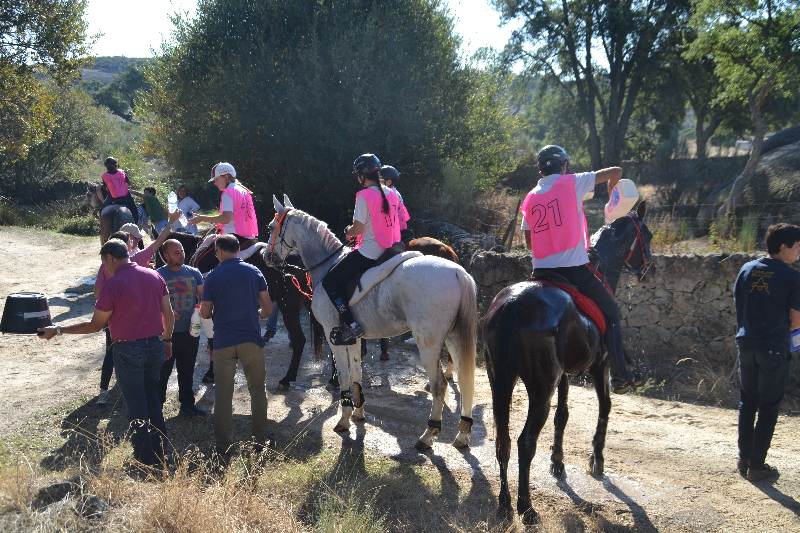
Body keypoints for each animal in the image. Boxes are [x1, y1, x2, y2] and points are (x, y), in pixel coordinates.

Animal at [153, 228, 322, 386]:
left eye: (156, 254)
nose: (157, 271)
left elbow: (213, 340)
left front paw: (211, 373)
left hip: (288, 308)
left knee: (299, 340)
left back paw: (287, 379)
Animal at [484, 201, 652, 524]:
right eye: (647, 236)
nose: (648, 270)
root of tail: (512, 305)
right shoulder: (600, 366)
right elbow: (605, 407)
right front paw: (597, 459)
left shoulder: (564, 376)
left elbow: (563, 415)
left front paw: (558, 462)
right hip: (540, 389)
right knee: (525, 442)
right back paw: (526, 507)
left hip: (501, 381)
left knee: (504, 441)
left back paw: (505, 505)